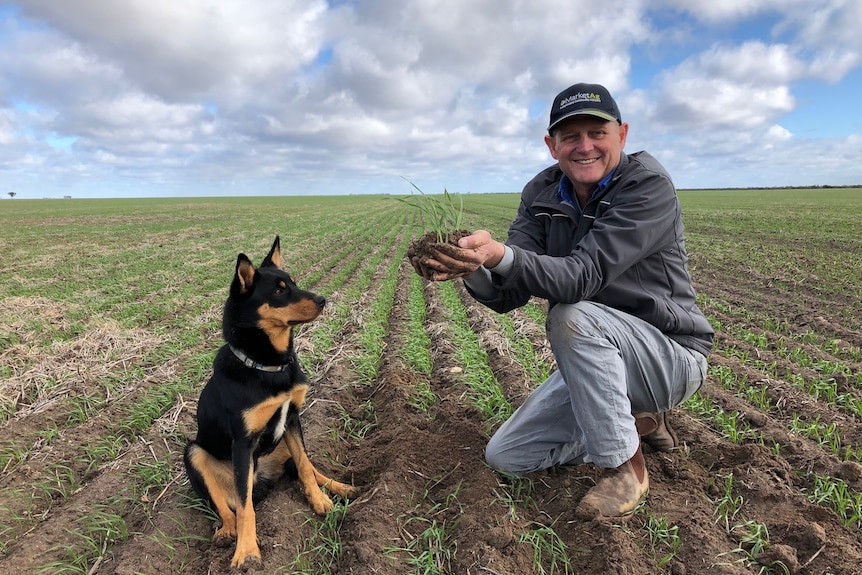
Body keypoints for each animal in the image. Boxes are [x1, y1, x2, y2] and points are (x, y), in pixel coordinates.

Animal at [184, 235, 356, 572]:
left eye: (294, 282)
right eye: (278, 290)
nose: (323, 299)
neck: (268, 366)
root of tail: (263, 477)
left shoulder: (292, 419)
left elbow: (305, 467)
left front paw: (320, 501)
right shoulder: (243, 442)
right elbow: (245, 507)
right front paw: (247, 552)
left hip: (281, 446)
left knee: (306, 465)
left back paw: (339, 486)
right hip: (194, 452)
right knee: (226, 506)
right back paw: (227, 532)